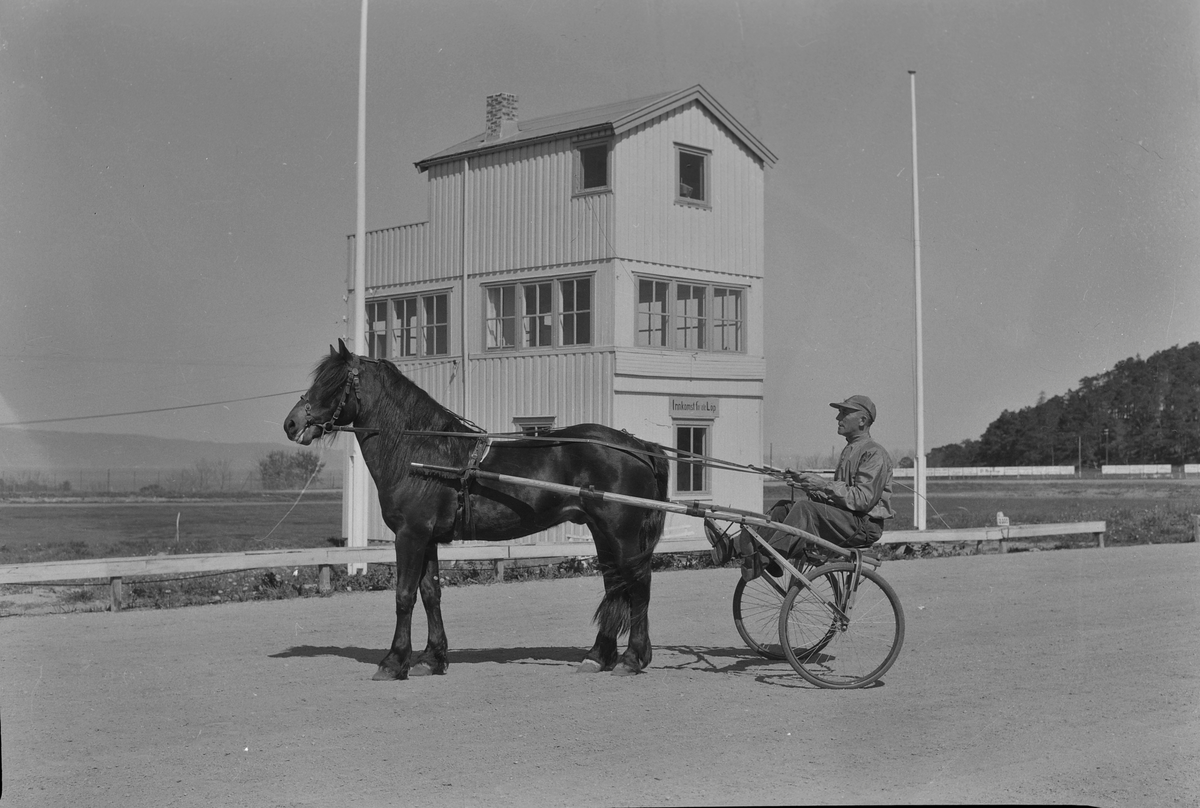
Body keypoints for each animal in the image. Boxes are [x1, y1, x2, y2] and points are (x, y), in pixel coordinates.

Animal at [284, 340, 672, 681]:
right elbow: (431, 595)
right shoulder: (428, 539)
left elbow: (404, 596)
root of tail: (636, 444)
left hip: (621, 533)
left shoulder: (410, 535)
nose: (291, 423)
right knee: (614, 586)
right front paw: (432, 659)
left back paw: (632, 659)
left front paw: (394, 662)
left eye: (332, 382)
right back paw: (598, 657)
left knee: (639, 585)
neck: (421, 452)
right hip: (601, 532)